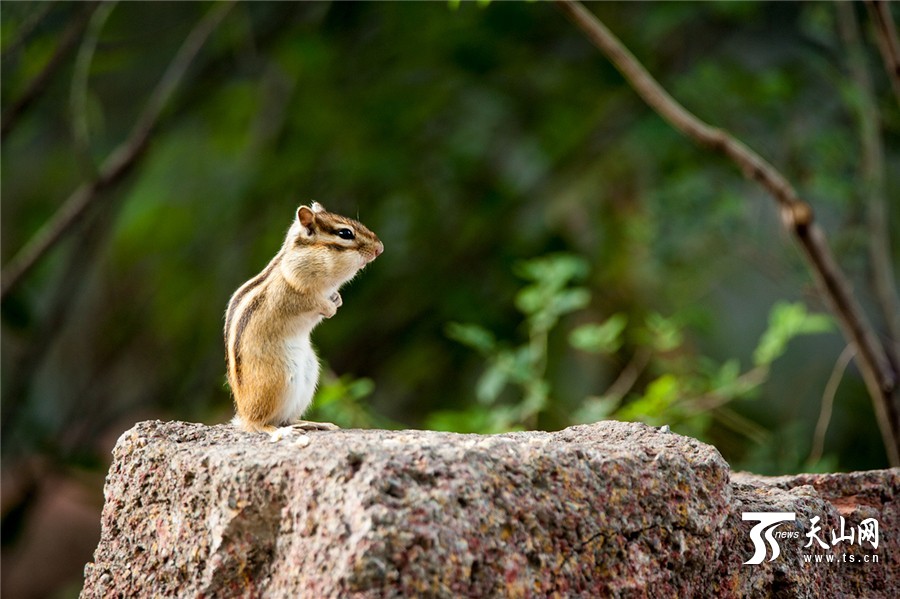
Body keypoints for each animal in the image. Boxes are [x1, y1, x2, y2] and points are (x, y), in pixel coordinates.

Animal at [224, 202, 383, 434]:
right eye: (345, 233)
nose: (380, 248)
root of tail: (242, 414)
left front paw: (337, 299)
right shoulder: (294, 289)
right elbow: (311, 301)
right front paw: (329, 308)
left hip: (309, 374)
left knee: (286, 418)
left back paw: (317, 424)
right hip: (279, 379)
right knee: (259, 423)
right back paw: (279, 430)